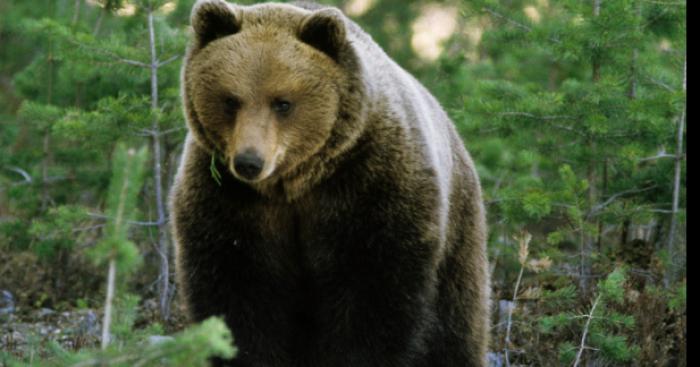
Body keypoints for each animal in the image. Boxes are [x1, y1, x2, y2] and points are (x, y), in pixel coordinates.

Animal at [170, 1, 490, 366]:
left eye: (282, 102)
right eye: (230, 100)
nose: (249, 162)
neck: (293, 183)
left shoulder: (370, 185)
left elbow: (373, 298)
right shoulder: (228, 199)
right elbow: (239, 292)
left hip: (458, 234)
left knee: (456, 324)